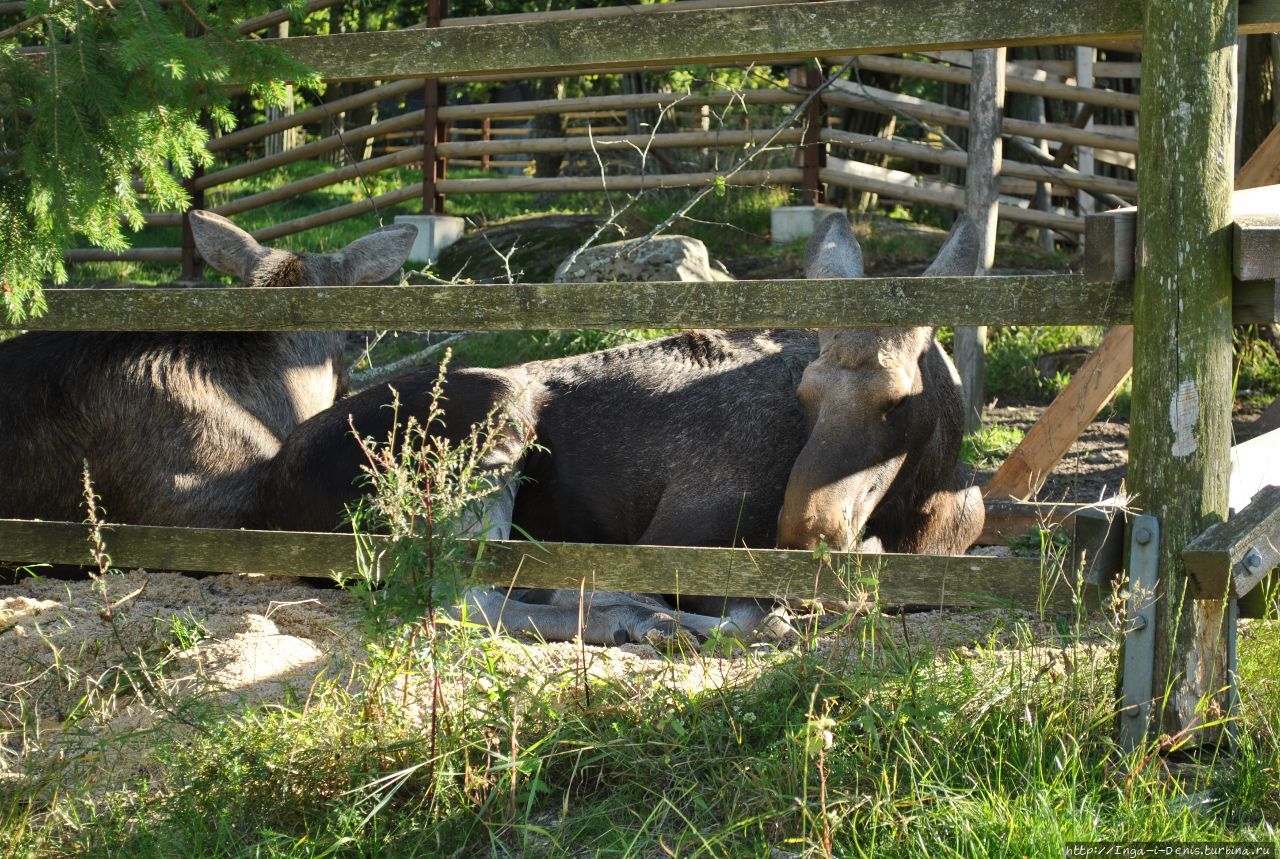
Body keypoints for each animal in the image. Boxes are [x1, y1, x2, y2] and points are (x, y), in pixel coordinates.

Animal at [257, 211, 977, 647]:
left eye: (899, 402)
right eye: (804, 393)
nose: (806, 532)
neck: (925, 504)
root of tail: (272, 494)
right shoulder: (679, 532)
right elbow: (752, 605)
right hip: (497, 409)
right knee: (461, 595)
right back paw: (638, 618)